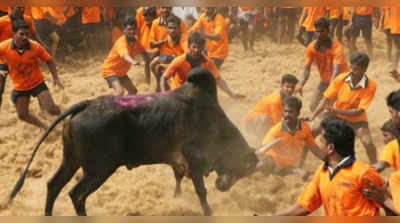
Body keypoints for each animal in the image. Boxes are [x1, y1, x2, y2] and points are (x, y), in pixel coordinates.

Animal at [9, 68, 260, 216]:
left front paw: (178, 198)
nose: (223, 186)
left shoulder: (177, 161)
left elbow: (178, 179)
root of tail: (87, 104)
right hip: (99, 169)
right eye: (244, 167)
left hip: (71, 161)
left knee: (54, 185)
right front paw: (208, 212)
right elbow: (201, 191)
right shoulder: (195, 161)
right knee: (76, 194)